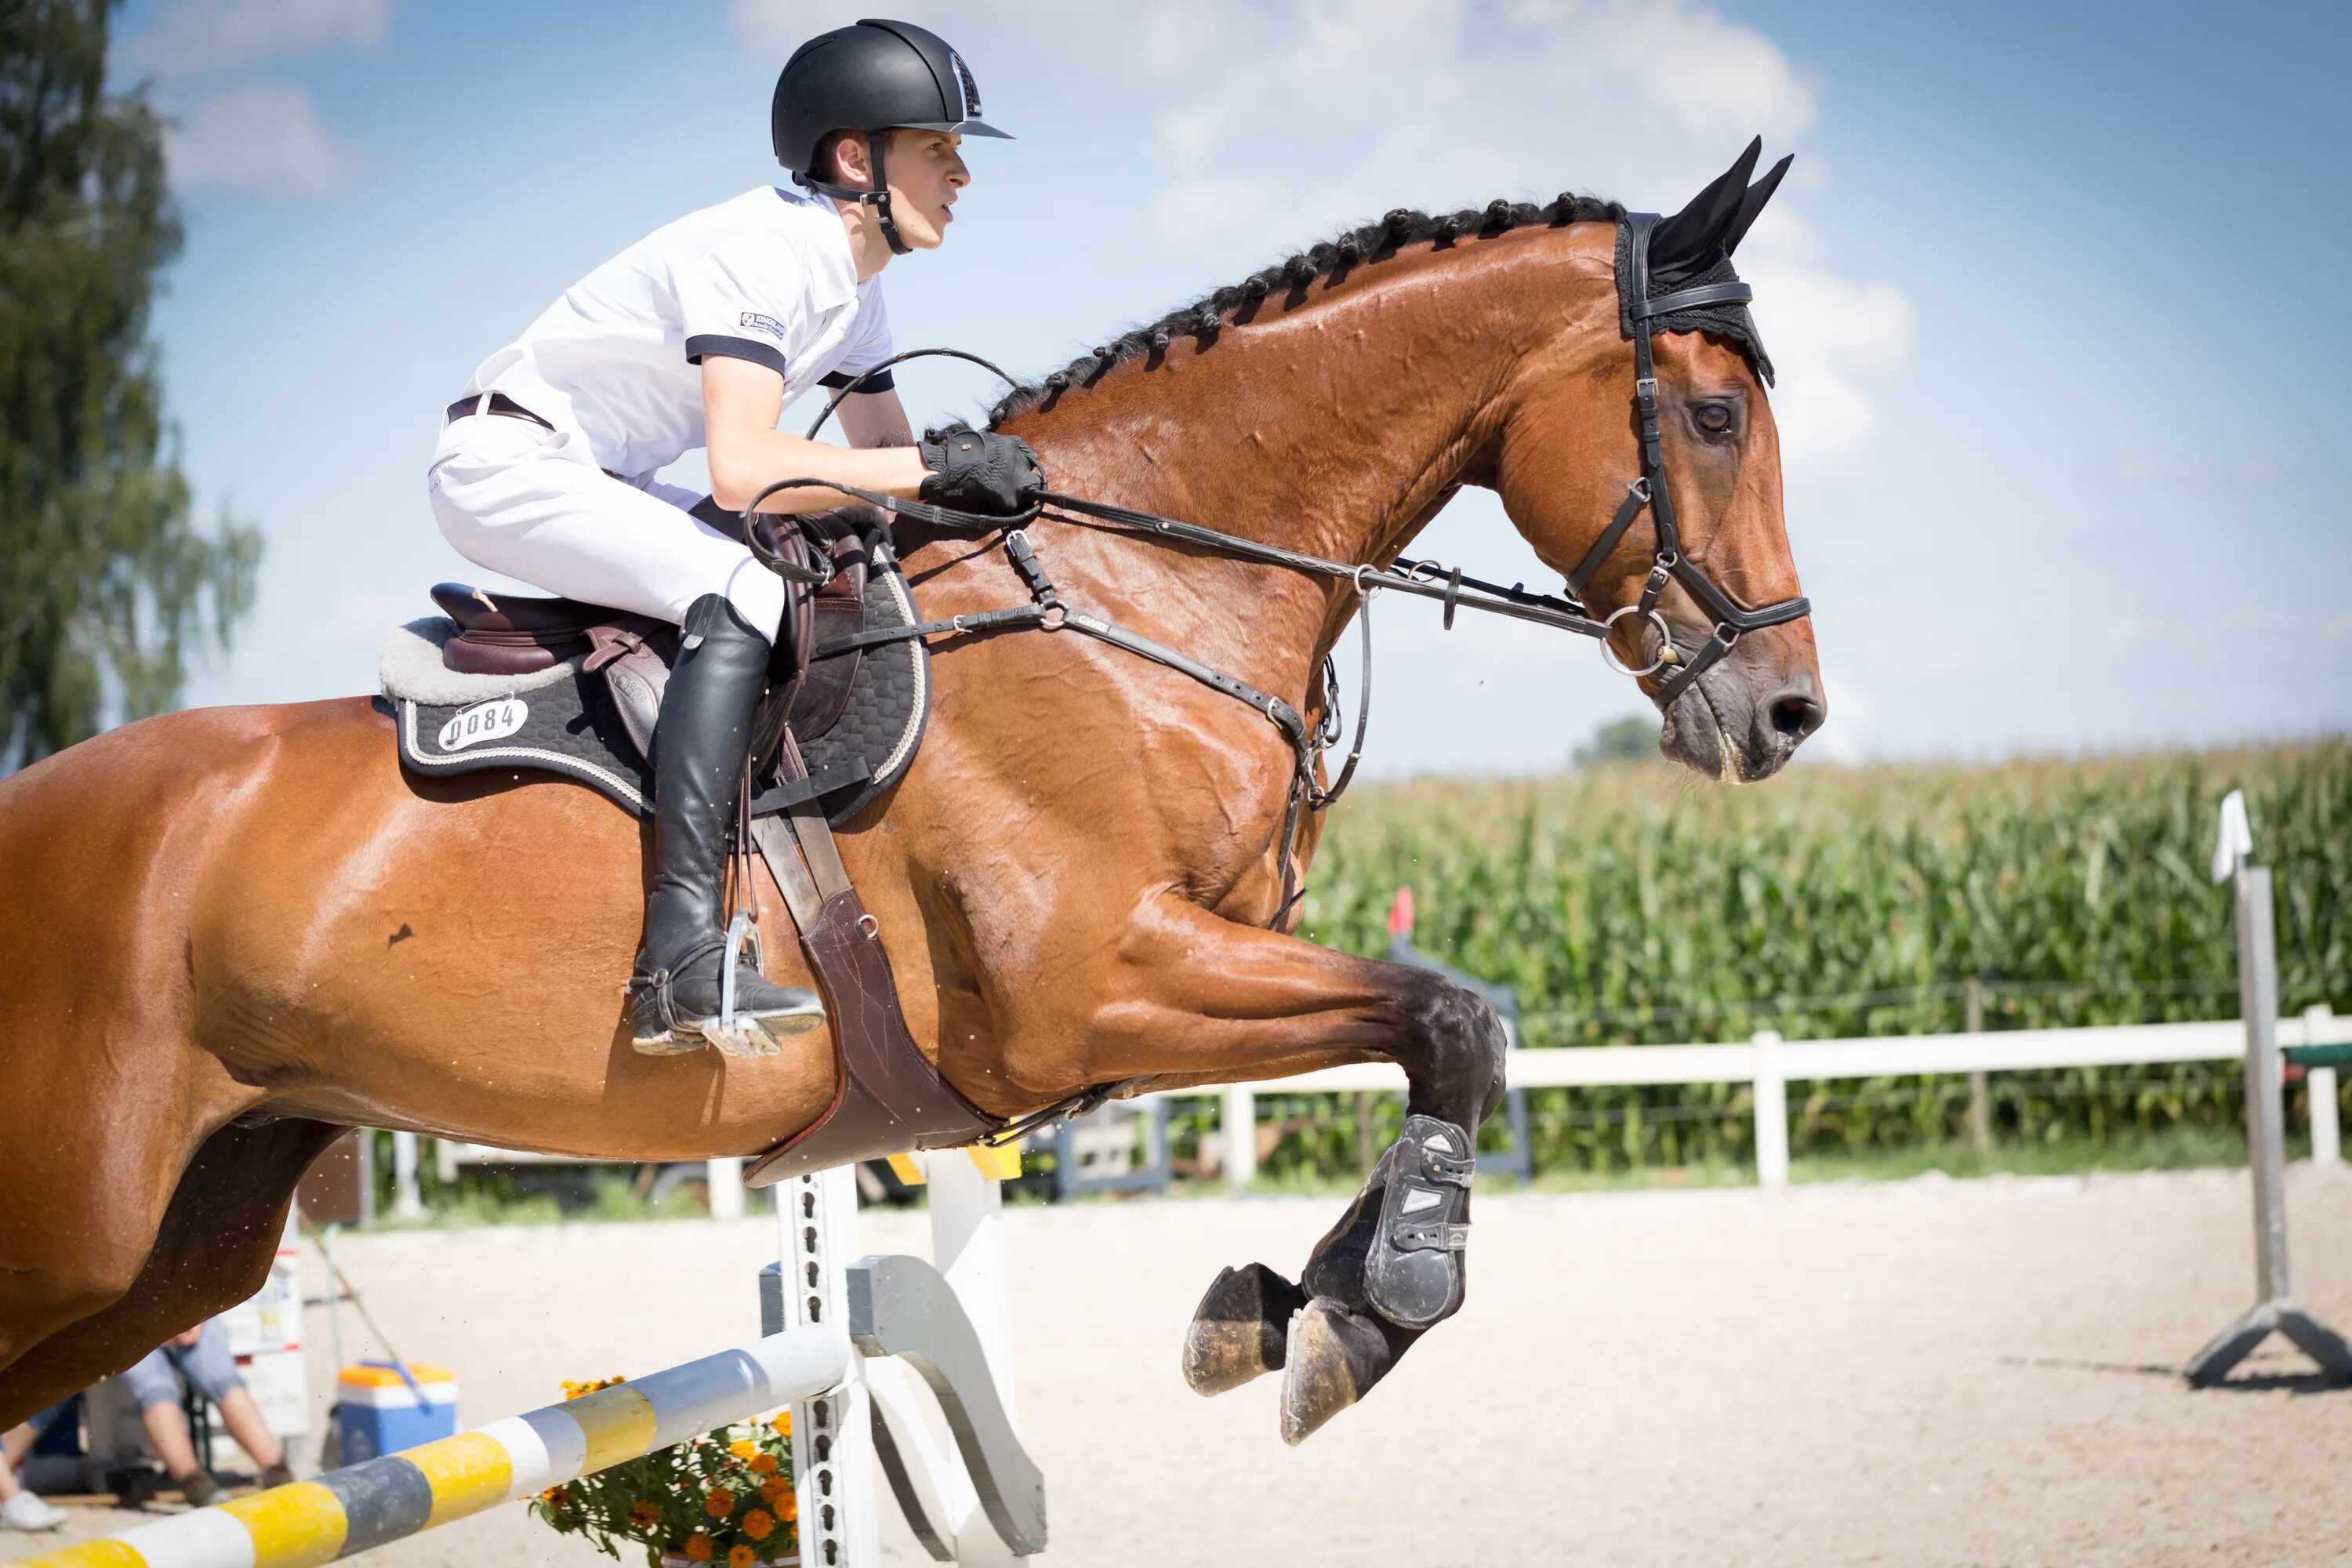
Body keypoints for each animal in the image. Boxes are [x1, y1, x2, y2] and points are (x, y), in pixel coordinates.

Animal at [0, 143, 1816, 1448]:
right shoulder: (1092, 987)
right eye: (1715, 413)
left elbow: (1442, 1029)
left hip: (180, 1235)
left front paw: (1299, 1299)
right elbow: (1447, 1018)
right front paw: (1373, 1310)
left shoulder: (1179, 983)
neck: (1143, 582)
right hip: (80, 1215)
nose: (1786, 711)